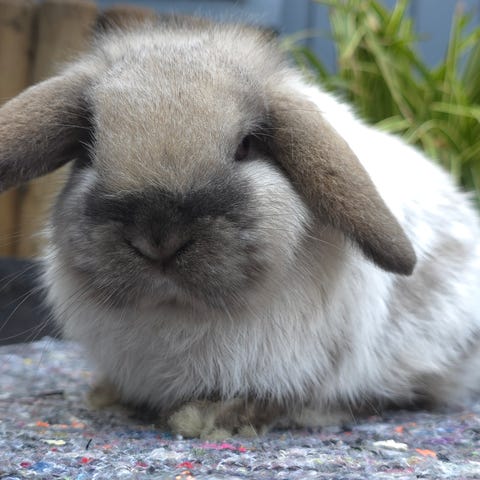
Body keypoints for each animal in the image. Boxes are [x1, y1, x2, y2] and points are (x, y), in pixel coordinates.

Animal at [1, 18, 480, 439]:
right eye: (88, 148)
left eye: (246, 146)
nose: (159, 239)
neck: (178, 314)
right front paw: (108, 396)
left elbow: (276, 398)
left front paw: (212, 419)